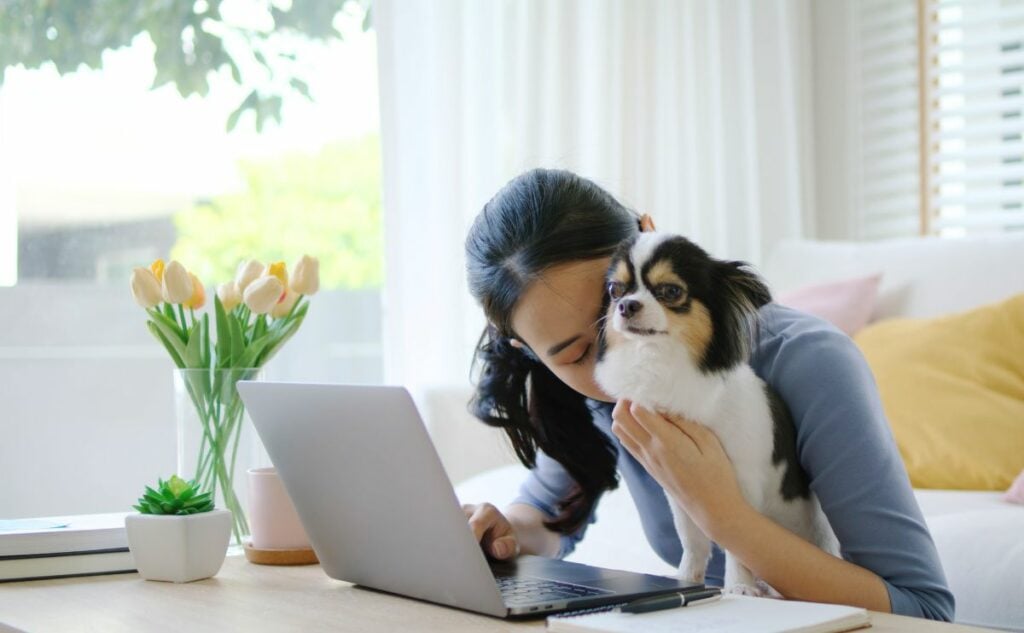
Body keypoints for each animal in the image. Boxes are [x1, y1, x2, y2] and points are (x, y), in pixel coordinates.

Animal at [593, 230, 839, 589]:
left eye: (671, 291)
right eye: (615, 290)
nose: (626, 305)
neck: (662, 361)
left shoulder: (739, 483)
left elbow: (738, 541)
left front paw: (738, 586)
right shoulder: (679, 492)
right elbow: (692, 539)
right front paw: (687, 579)